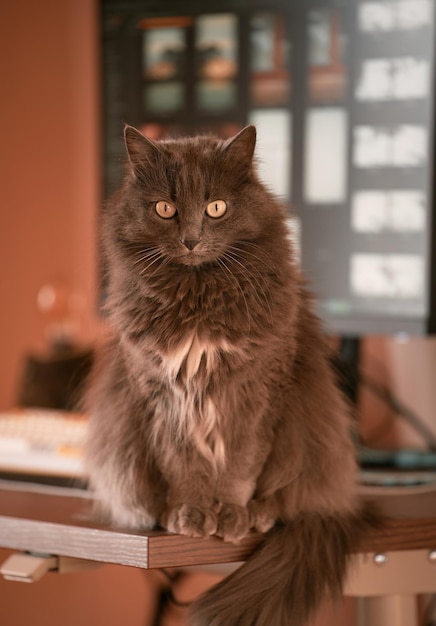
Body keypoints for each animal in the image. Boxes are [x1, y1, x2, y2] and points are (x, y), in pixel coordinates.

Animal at [85, 124, 374, 620]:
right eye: (165, 208)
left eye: (216, 207)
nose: (191, 239)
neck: (198, 295)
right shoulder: (162, 395)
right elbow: (182, 463)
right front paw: (189, 514)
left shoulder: (257, 389)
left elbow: (240, 464)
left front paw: (230, 514)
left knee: (286, 495)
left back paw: (257, 514)